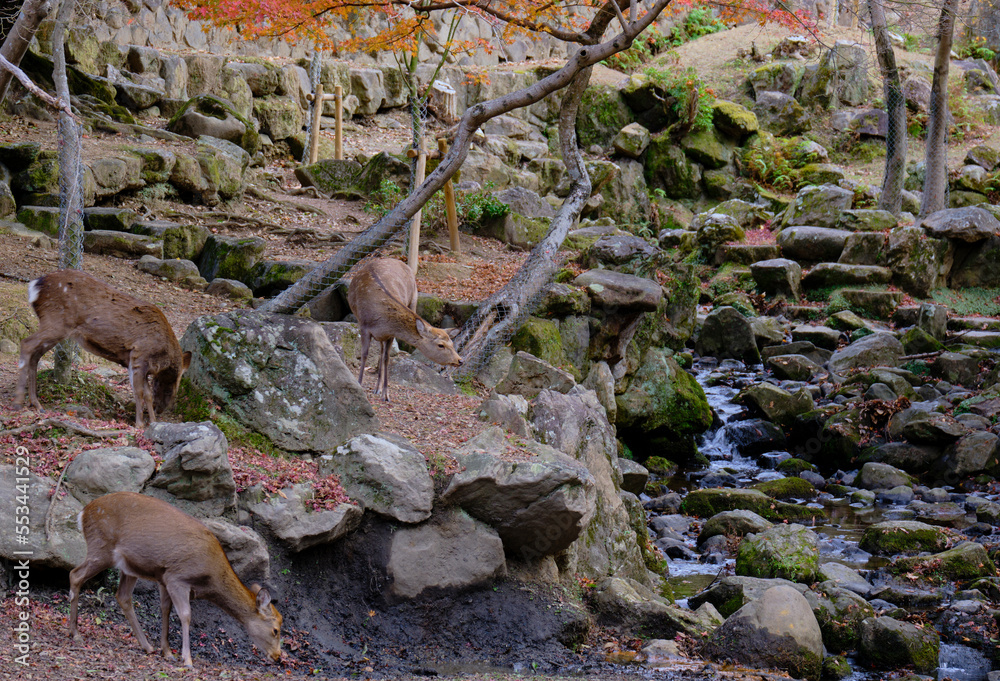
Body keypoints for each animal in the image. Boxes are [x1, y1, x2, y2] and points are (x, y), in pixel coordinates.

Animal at [13, 269, 192, 428]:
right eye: (174, 387)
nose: (161, 409)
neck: (162, 355)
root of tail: (35, 286)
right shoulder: (139, 355)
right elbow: (139, 392)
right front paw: (140, 424)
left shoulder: (133, 361)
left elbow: (146, 393)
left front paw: (152, 422)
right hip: (56, 321)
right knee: (26, 344)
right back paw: (18, 402)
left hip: (56, 327)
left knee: (35, 355)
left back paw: (36, 404)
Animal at [68, 492, 283, 667]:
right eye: (275, 630)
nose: (277, 656)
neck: (209, 578)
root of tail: (83, 513)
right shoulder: (177, 577)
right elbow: (186, 615)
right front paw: (187, 659)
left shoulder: (164, 577)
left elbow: (165, 610)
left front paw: (167, 652)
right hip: (101, 547)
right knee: (75, 574)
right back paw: (75, 634)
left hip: (128, 566)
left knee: (123, 596)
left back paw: (147, 646)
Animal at [346, 258, 462, 401]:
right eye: (441, 345)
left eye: (451, 343)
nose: (460, 360)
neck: (380, 320)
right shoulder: (363, 326)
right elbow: (364, 355)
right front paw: (359, 385)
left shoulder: (390, 334)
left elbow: (387, 358)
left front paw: (386, 394)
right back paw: (376, 388)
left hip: (414, 298)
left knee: (382, 353)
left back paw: (378, 388)